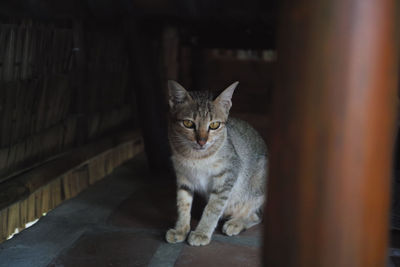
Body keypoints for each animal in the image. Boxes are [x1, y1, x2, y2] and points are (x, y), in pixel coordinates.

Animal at [166, 80, 268, 247]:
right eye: (188, 123)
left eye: (214, 125)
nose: (201, 141)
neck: (196, 158)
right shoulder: (183, 177)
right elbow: (183, 204)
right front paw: (181, 229)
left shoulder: (227, 176)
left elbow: (213, 208)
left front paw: (201, 233)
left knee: (256, 215)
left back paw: (236, 223)